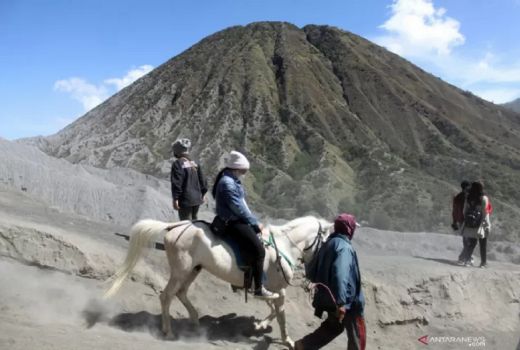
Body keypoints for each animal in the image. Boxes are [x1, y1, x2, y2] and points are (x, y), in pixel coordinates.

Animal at [104, 216, 334, 348]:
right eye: (325, 240)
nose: (316, 271)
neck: (284, 246)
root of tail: (173, 227)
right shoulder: (276, 289)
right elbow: (281, 315)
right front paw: (287, 340)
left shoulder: (272, 290)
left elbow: (275, 310)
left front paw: (261, 325)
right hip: (181, 270)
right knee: (167, 296)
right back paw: (168, 331)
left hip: (194, 270)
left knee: (181, 293)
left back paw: (195, 321)